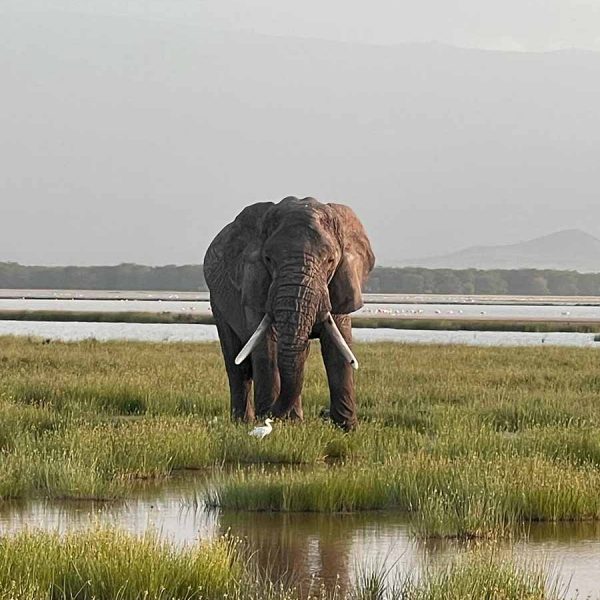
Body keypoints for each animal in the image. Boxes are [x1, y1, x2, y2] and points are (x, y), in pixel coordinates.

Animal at [205, 198, 376, 432]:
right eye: (268, 259)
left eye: (330, 261)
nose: (323, 414)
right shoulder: (255, 284)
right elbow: (266, 347)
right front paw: (266, 419)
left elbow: (338, 346)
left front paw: (347, 429)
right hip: (217, 302)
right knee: (236, 364)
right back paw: (245, 421)